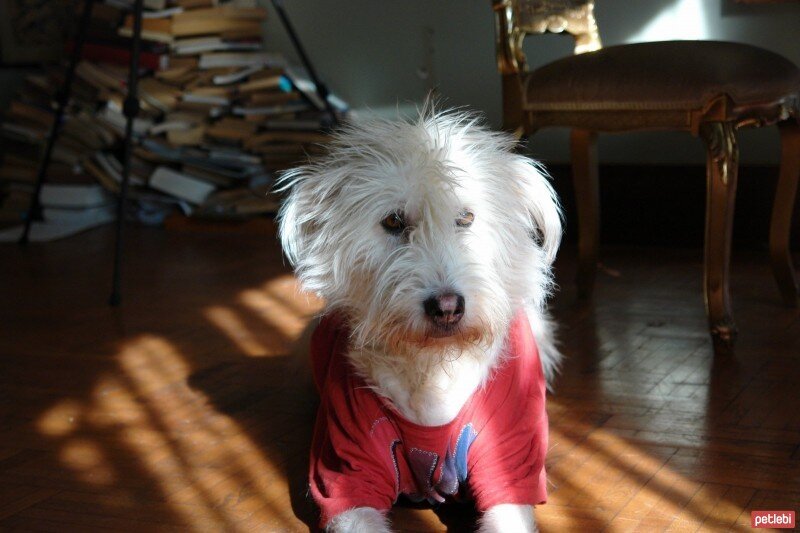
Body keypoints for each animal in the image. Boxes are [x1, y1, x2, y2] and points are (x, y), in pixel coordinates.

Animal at [282, 109, 564, 532]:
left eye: (466, 218)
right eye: (393, 222)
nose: (447, 307)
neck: (433, 369)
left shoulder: (510, 465)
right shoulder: (348, 477)